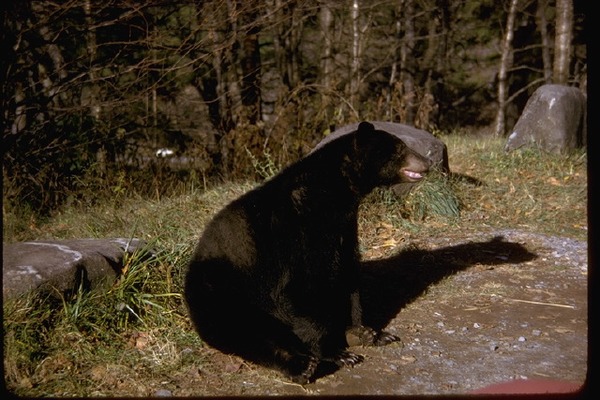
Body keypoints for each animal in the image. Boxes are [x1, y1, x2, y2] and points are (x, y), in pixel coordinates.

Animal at [185, 120, 428, 382]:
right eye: (400, 148)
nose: (425, 162)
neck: (334, 193)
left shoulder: (344, 227)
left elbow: (347, 275)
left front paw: (366, 332)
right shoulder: (298, 230)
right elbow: (304, 287)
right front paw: (338, 352)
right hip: (223, 293)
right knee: (247, 333)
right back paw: (302, 365)